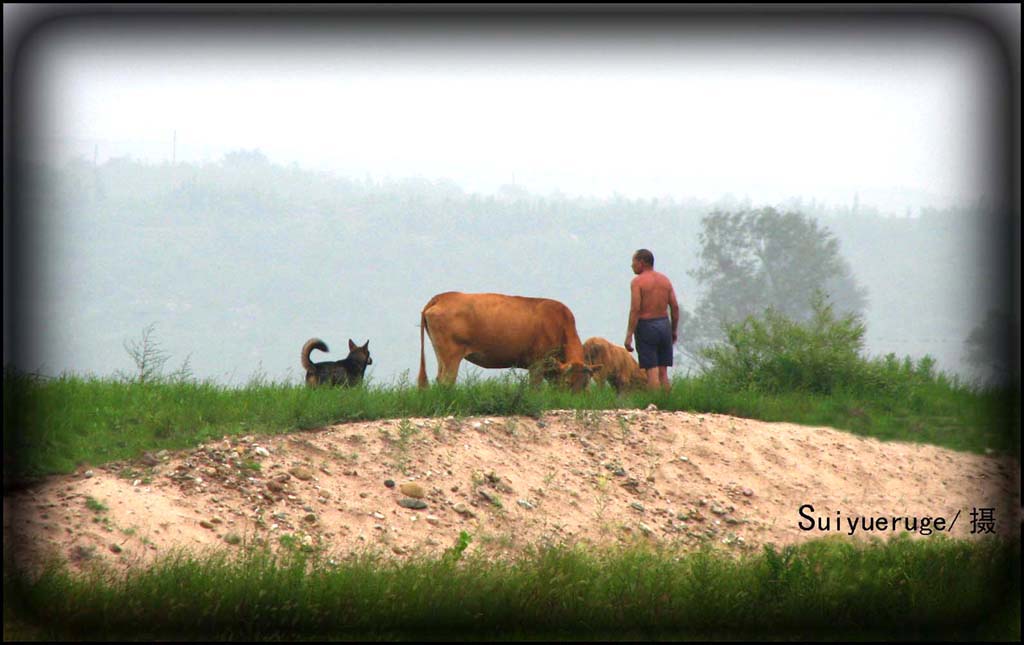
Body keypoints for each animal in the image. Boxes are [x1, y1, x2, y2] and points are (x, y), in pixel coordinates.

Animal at [417, 290, 598, 391]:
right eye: (568, 383)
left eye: (584, 384)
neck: (560, 324)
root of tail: (442, 297)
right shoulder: (537, 364)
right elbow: (535, 388)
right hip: (451, 355)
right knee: (446, 381)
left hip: (441, 354)